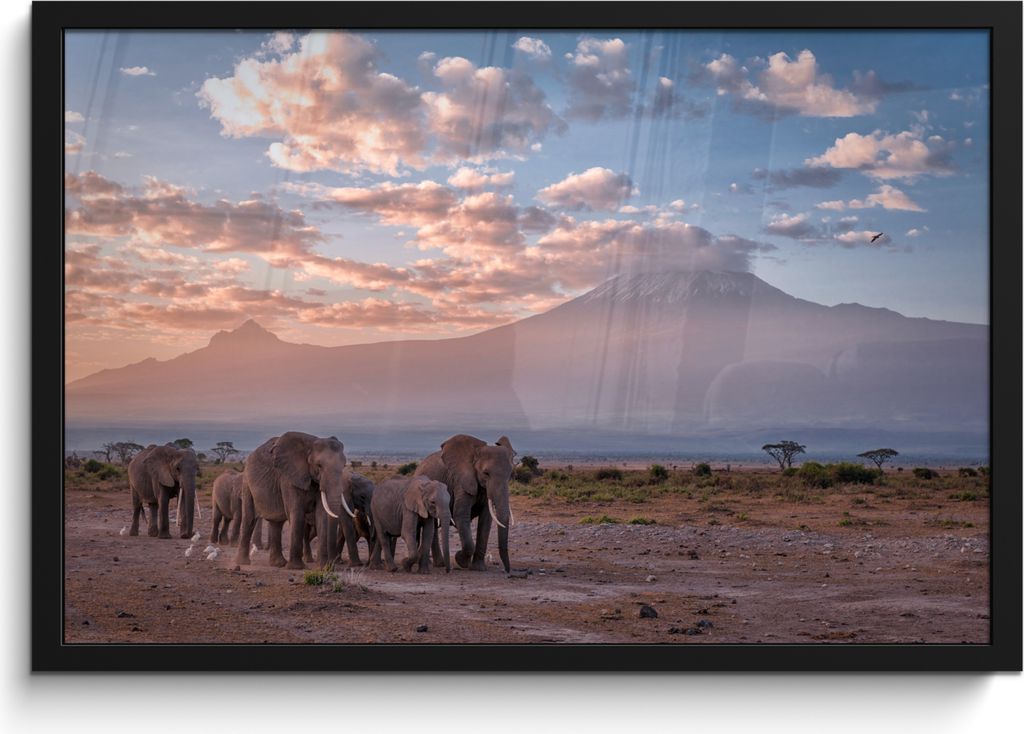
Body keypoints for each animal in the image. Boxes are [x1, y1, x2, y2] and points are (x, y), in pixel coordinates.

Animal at [235, 432, 356, 570]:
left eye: (343, 466)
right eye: (319, 465)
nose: (330, 565)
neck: (310, 444)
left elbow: (321, 515)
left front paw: (322, 568)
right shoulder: (288, 477)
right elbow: (297, 512)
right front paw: (296, 567)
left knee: (276, 523)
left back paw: (278, 564)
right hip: (247, 483)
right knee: (249, 519)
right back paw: (243, 562)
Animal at [418, 434, 515, 573]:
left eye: (511, 474)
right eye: (486, 473)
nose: (507, 570)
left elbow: (486, 520)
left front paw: (478, 568)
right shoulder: (460, 481)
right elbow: (461, 514)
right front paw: (461, 560)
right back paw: (440, 564)